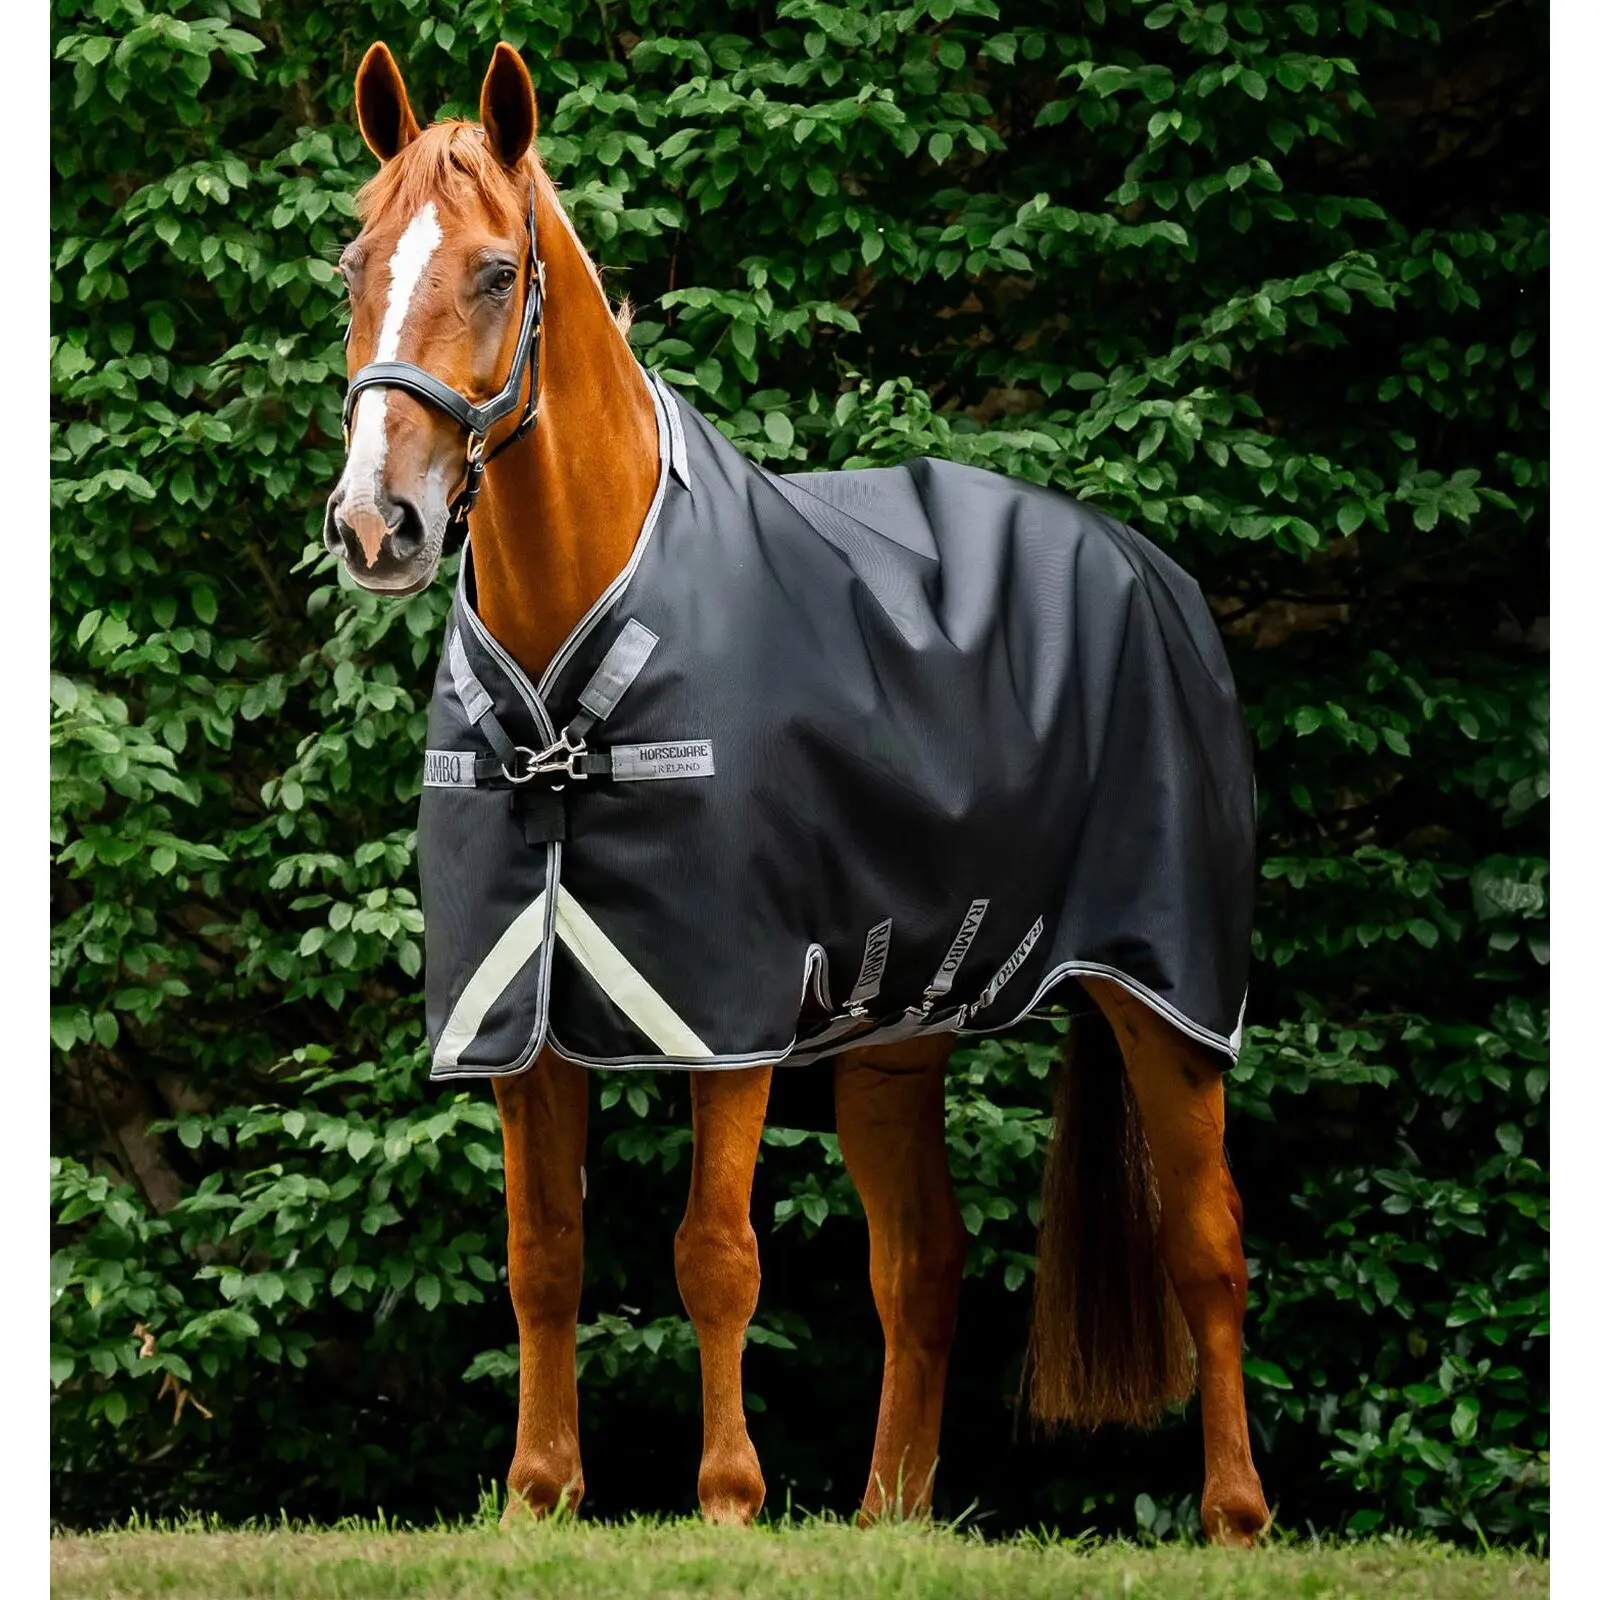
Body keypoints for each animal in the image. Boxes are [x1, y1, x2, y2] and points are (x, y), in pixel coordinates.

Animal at [321, 41, 1271, 1545]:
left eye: (493, 270)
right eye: (355, 261)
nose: (376, 523)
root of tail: (1151, 574)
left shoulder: (727, 1013)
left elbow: (715, 1254)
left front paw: (725, 1499)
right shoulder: (519, 1022)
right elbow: (542, 1257)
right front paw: (538, 1497)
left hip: (1164, 995)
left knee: (1207, 1241)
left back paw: (1234, 1512)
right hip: (899, 1026)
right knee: (921, 1263)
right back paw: (889, 1520)